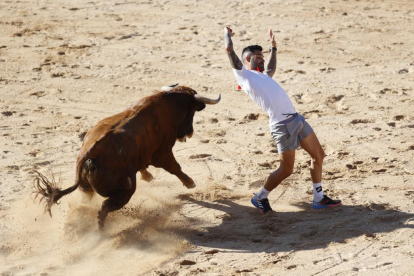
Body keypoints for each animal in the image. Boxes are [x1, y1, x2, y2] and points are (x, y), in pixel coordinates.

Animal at [33, 85, 220, 229]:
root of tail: (91, 152)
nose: (189, 133)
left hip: (86, 187)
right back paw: (101, 231)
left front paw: (148, 176)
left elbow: (145, 166)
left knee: (88, 200)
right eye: (191, 113)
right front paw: (190, 183)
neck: (166, 105)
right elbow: (175, 167)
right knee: (105, 207)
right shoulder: (163, 153)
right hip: (125, 191)